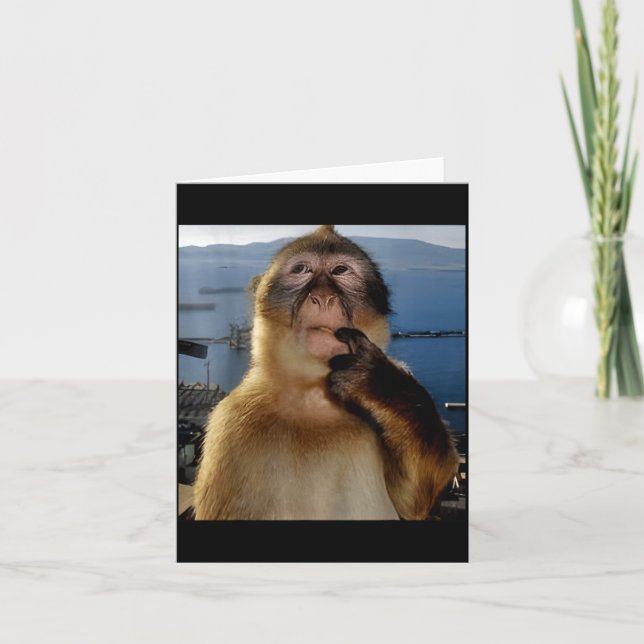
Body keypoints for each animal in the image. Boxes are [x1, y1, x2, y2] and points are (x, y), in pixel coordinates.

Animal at [193, 224, 460, 520]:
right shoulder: (229, 426)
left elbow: (414, 500)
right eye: (302, 270)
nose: (322, 297)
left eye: (340, 270)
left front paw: (377, 381)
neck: (313, 395)